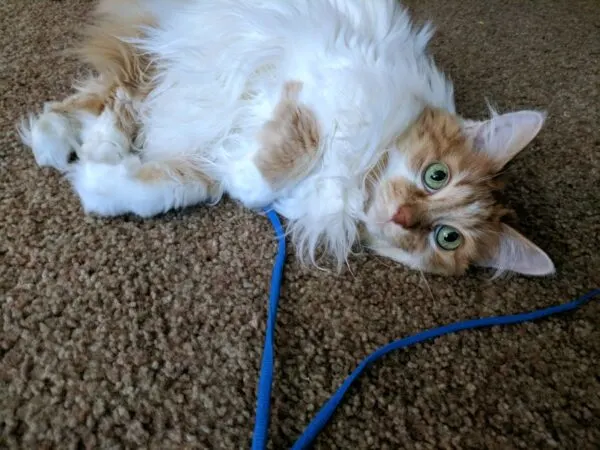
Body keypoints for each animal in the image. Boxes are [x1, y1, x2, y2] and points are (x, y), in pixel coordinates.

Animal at [17, 0, 552, 276]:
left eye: (447, 237)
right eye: (436, 175)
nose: (401, 216)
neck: (353, 181)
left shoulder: (213, 160)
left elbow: (175, 185)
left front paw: (98, 187)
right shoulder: (316, 89)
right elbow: (286, 157)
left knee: (112, 96)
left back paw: (83, 147)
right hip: (175, 50)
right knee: (113, 96)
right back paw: (65, 140)